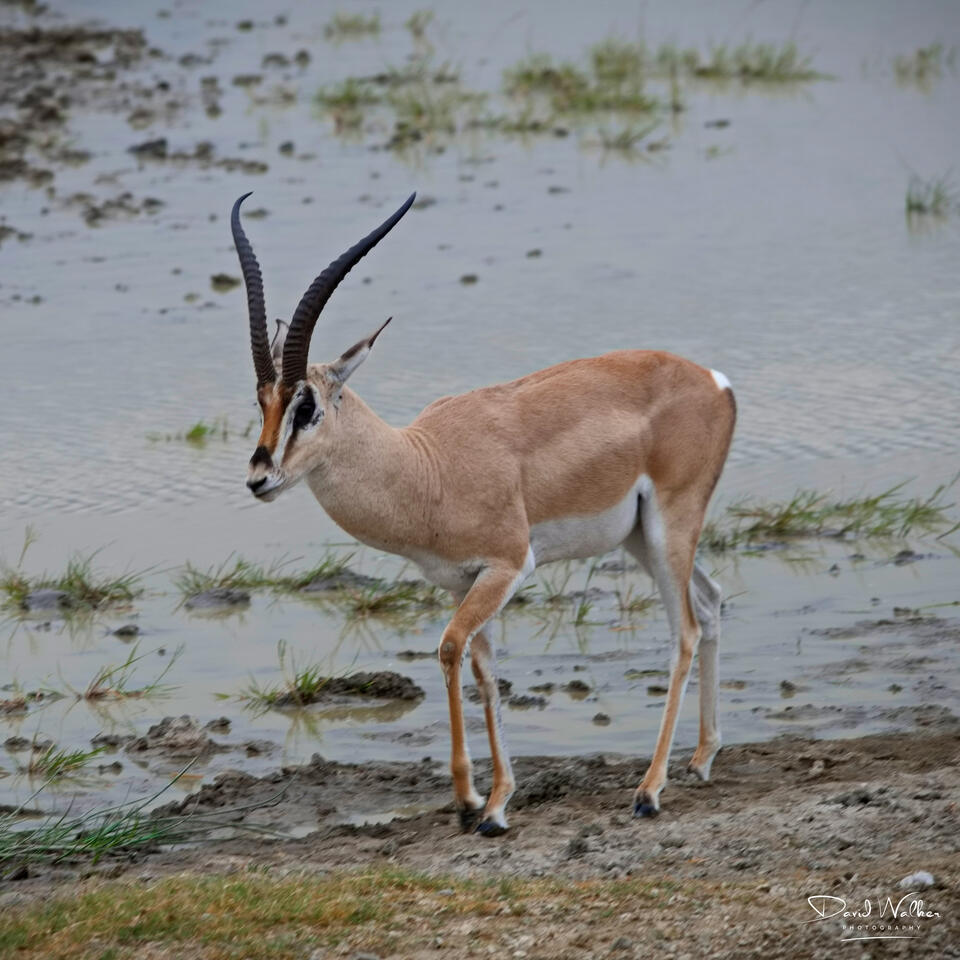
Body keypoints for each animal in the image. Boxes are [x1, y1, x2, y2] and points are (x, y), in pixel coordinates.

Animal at [232, 191, 736, 834]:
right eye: (262, 403)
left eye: (308, 405)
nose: (259, 477)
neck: (428, 466)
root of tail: (715, 382)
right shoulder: (461, 581)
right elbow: (485, 673)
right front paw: (497, 802)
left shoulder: (507, 567)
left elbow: (450, 649)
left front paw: (471, 801)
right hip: (643, 538)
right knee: (712, 603)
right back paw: (701, 758)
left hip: (670, 525)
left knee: (686, 630)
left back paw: (649, 791)